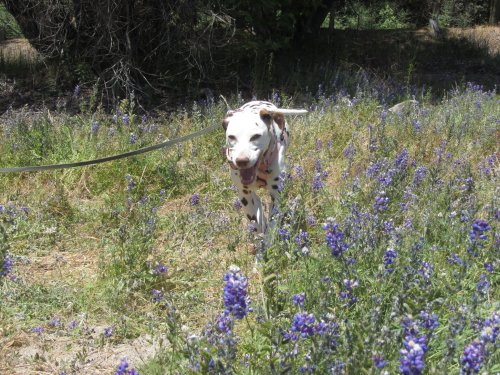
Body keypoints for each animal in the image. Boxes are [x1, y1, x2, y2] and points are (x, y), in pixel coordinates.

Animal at [224, 101, 308, 234]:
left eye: (255, 136)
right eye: (232, 137)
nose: (241, 161)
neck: (261, 168)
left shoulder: (277, 194)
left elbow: (273, 222)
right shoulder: (245, 195)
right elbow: (254, 221)